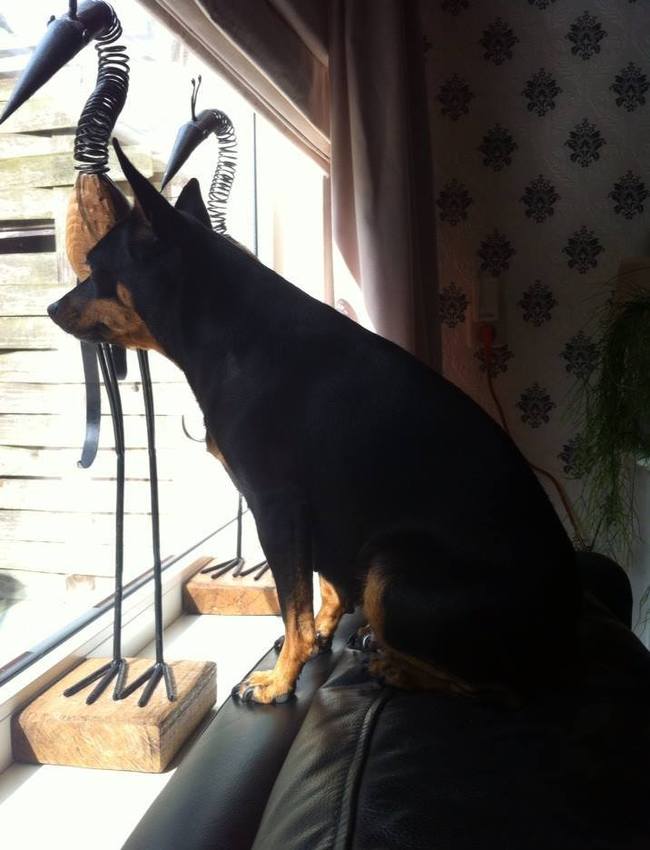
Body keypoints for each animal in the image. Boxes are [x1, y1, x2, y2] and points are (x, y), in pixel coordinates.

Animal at [47, 140, 580, 705]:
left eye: (94, 266)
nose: (52, 307)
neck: (229, 330)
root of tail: (566, 631)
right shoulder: (312, 514)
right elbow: (321, 585)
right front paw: (324, 632)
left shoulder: (276, 505)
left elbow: (292, 604)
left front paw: (280, 680)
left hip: (392, 569)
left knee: (494, 686)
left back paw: (396, 667)